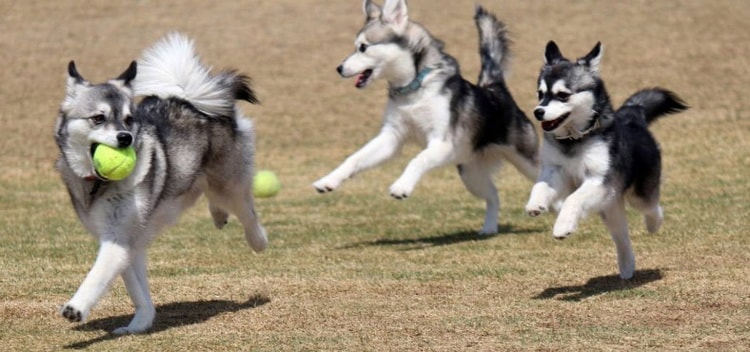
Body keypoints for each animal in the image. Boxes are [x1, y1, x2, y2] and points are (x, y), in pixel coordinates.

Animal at [55, 34, 268, 334]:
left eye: (128, 119)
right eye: (98, 118)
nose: (125, 138)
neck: (100, 186)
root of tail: (188, 99)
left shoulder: (119, 238)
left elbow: (97, 275)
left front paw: (76, 307)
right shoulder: (125, 242)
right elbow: (136, 289)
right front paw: (141, 323)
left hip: (228, 183)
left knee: (247, 211)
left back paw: (258, 241)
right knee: (215, 199)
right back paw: (219, 217)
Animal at [312, 0, 540, 236]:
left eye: (363, 47)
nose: (339, 69)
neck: (414, 88)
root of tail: (494, 89)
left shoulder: (441, 143)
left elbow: (417, 159)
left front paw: (401, 186)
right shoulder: (391, 137)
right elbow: (355, 158)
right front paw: (329, 180)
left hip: (525, 160)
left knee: (548, 181)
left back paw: (541, 207)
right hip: (470, 174)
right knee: (494, 196)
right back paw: (489, 228)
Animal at [524, 40, 692, 278]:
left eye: (563, 95)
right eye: (541, 94)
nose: (538, 112)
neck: (575, 138)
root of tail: (632, 114)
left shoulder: (599, 180)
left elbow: (572, 199)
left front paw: (562, 226)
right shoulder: (555, 170)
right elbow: (540, 185)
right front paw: (535, 204)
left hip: (637, 194)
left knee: (652, 207)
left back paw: (654, 224)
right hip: (610, 207)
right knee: (622, 237)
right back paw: (627, 266)